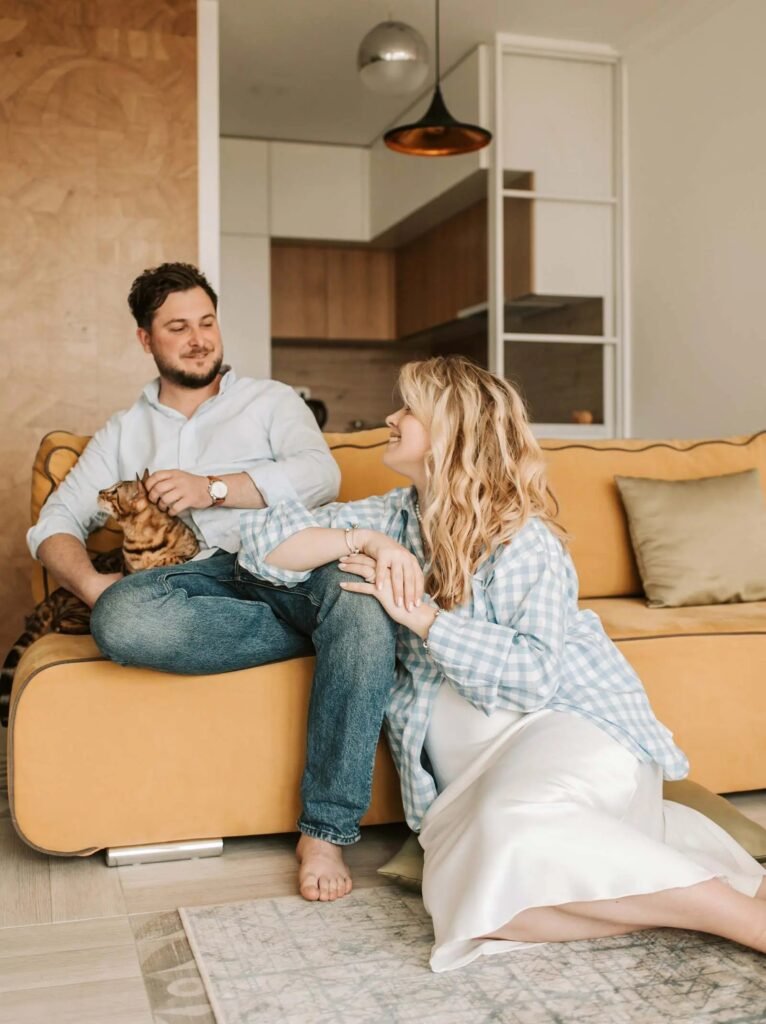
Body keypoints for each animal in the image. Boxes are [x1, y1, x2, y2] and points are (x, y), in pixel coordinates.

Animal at [0, 472, 199, 726]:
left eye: (114, 492)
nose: (99, 491)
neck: (141, 538)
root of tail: (55, 595)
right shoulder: (128, 571)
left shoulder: (190, 550)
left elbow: (177, 557)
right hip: (81, 609)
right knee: (60, 624)